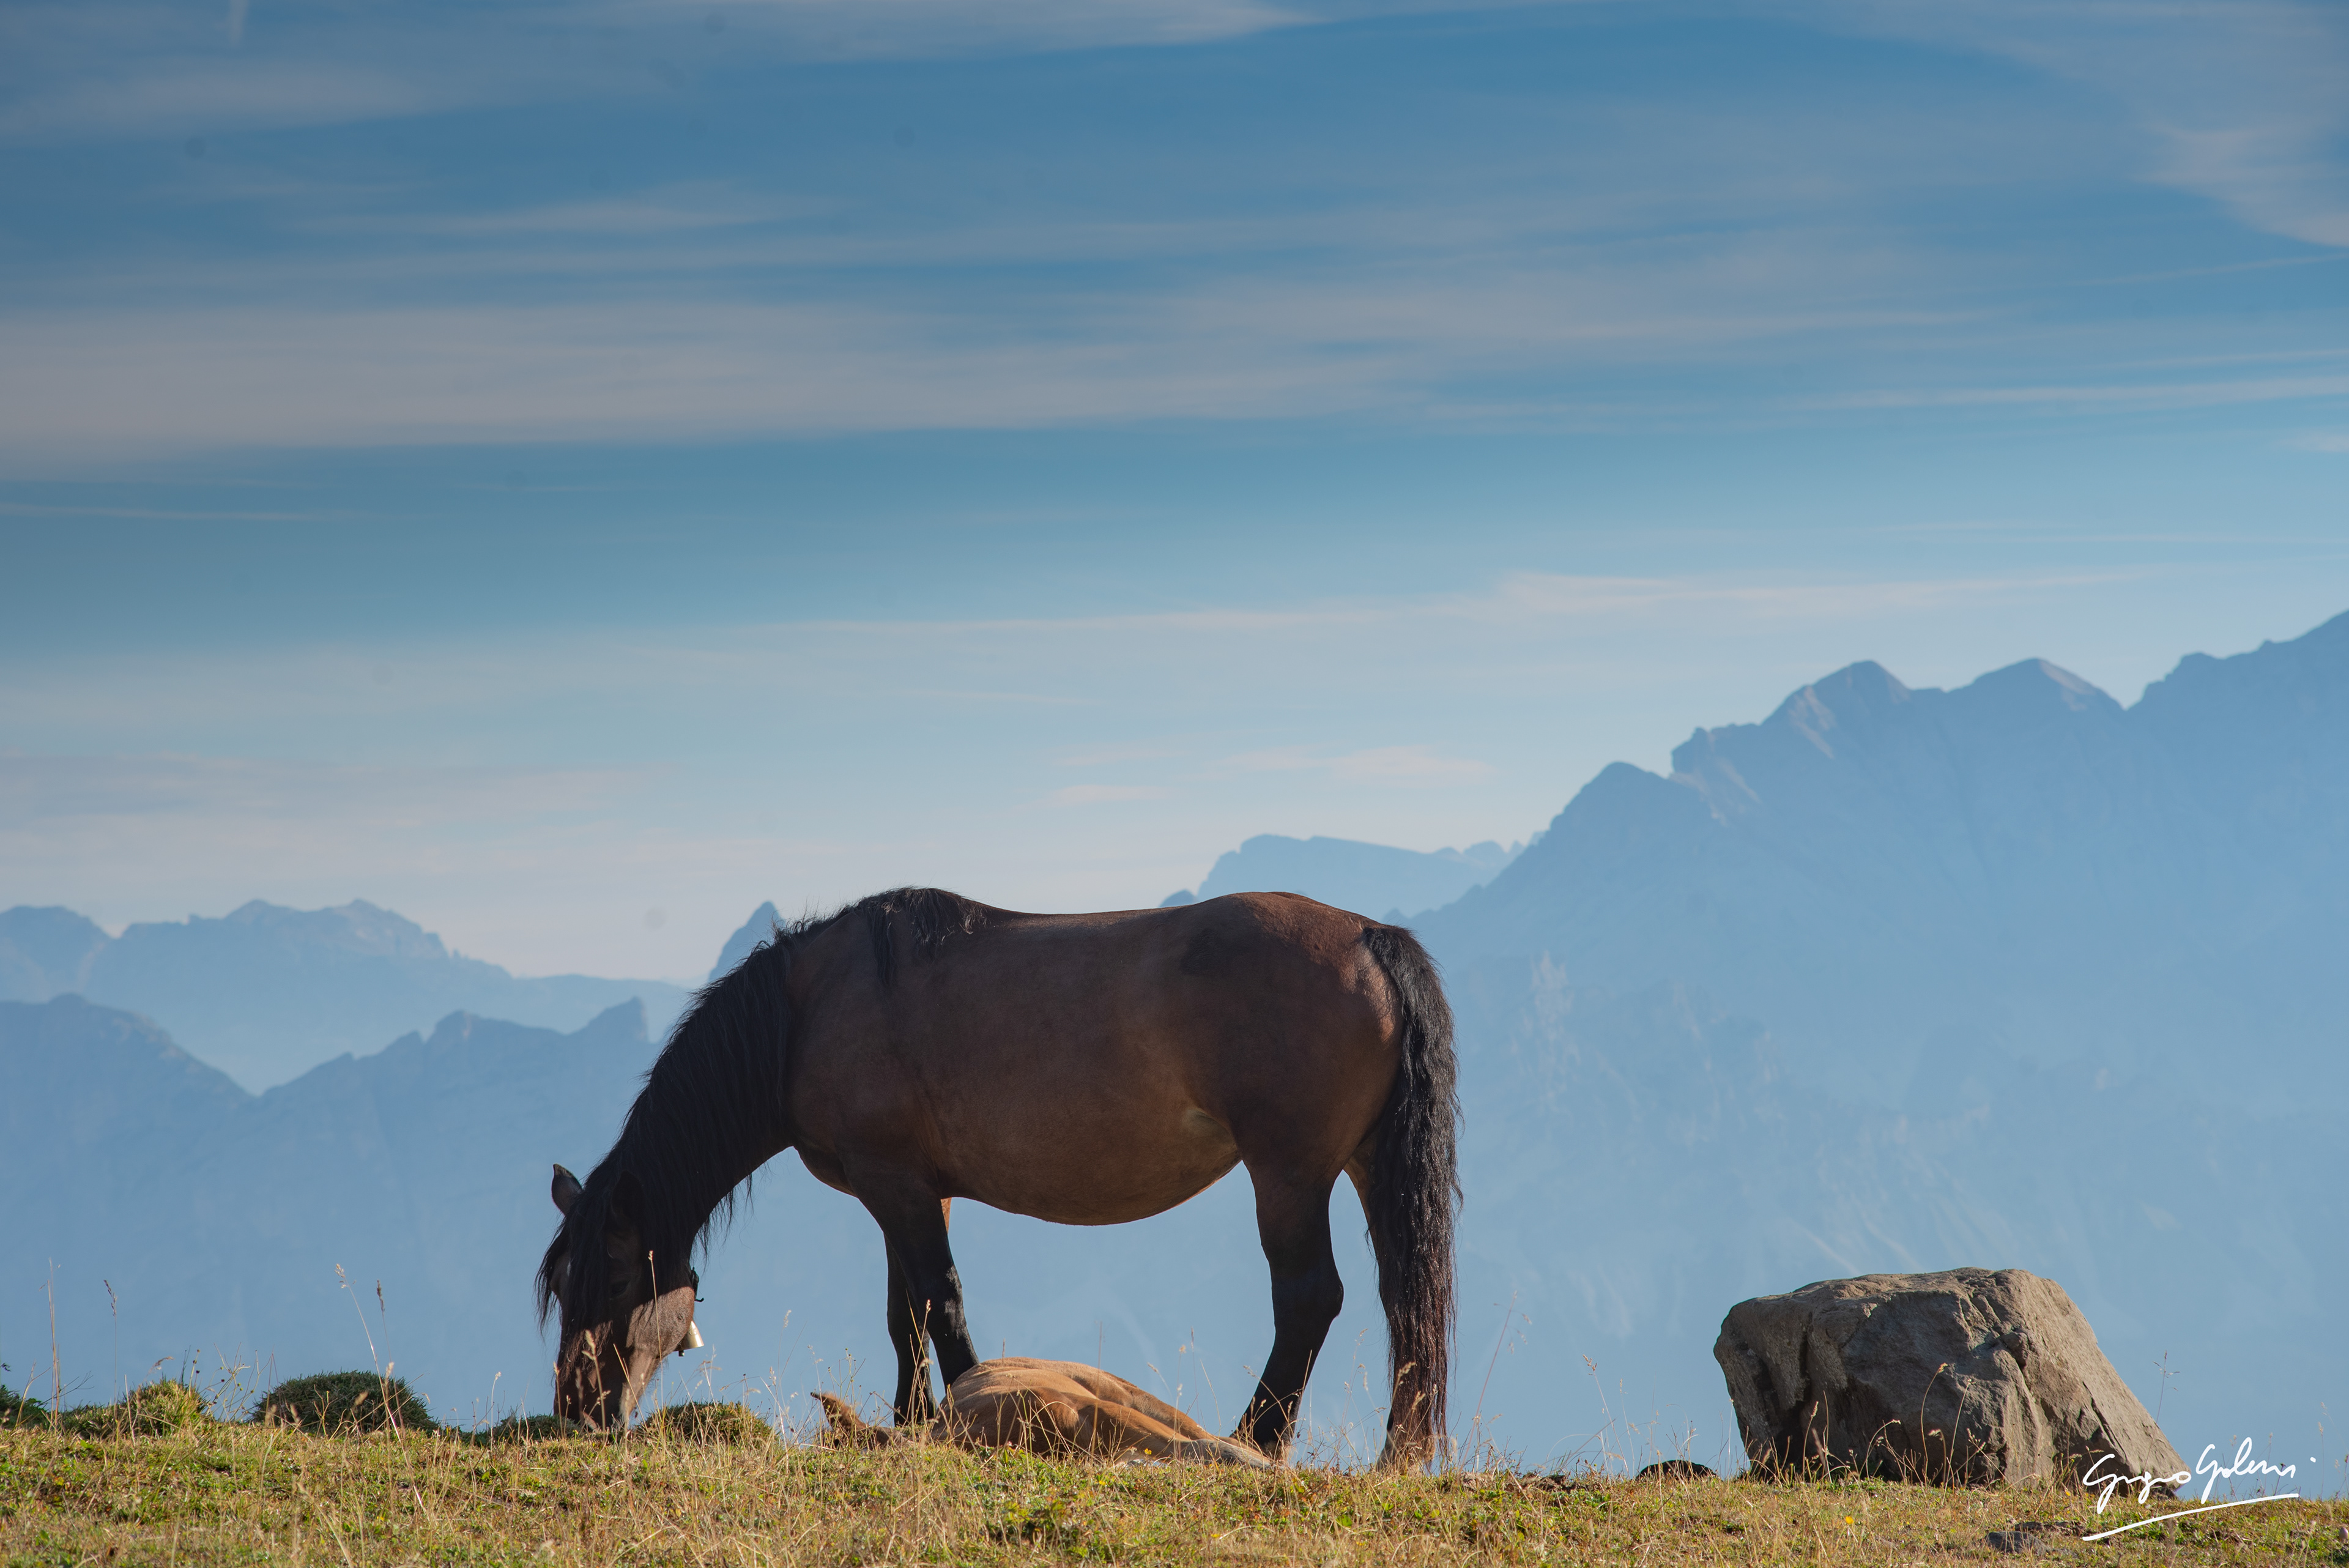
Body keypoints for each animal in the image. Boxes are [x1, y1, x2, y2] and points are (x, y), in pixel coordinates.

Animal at [535, 886, 1458, 1467]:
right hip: (1362, 1164)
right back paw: (1393, 1450)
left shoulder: (898, 1186)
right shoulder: (909, 1188)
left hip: (1289, 1172)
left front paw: (942, 1412)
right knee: (1400, 1299)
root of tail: (1371, 940)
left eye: (613, 1276)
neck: (809, 1010)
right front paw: (907, 1417)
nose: (579, 1407)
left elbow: (940, 1302)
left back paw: (1258, 1436)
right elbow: (903, 1309)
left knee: (1309, 1297)